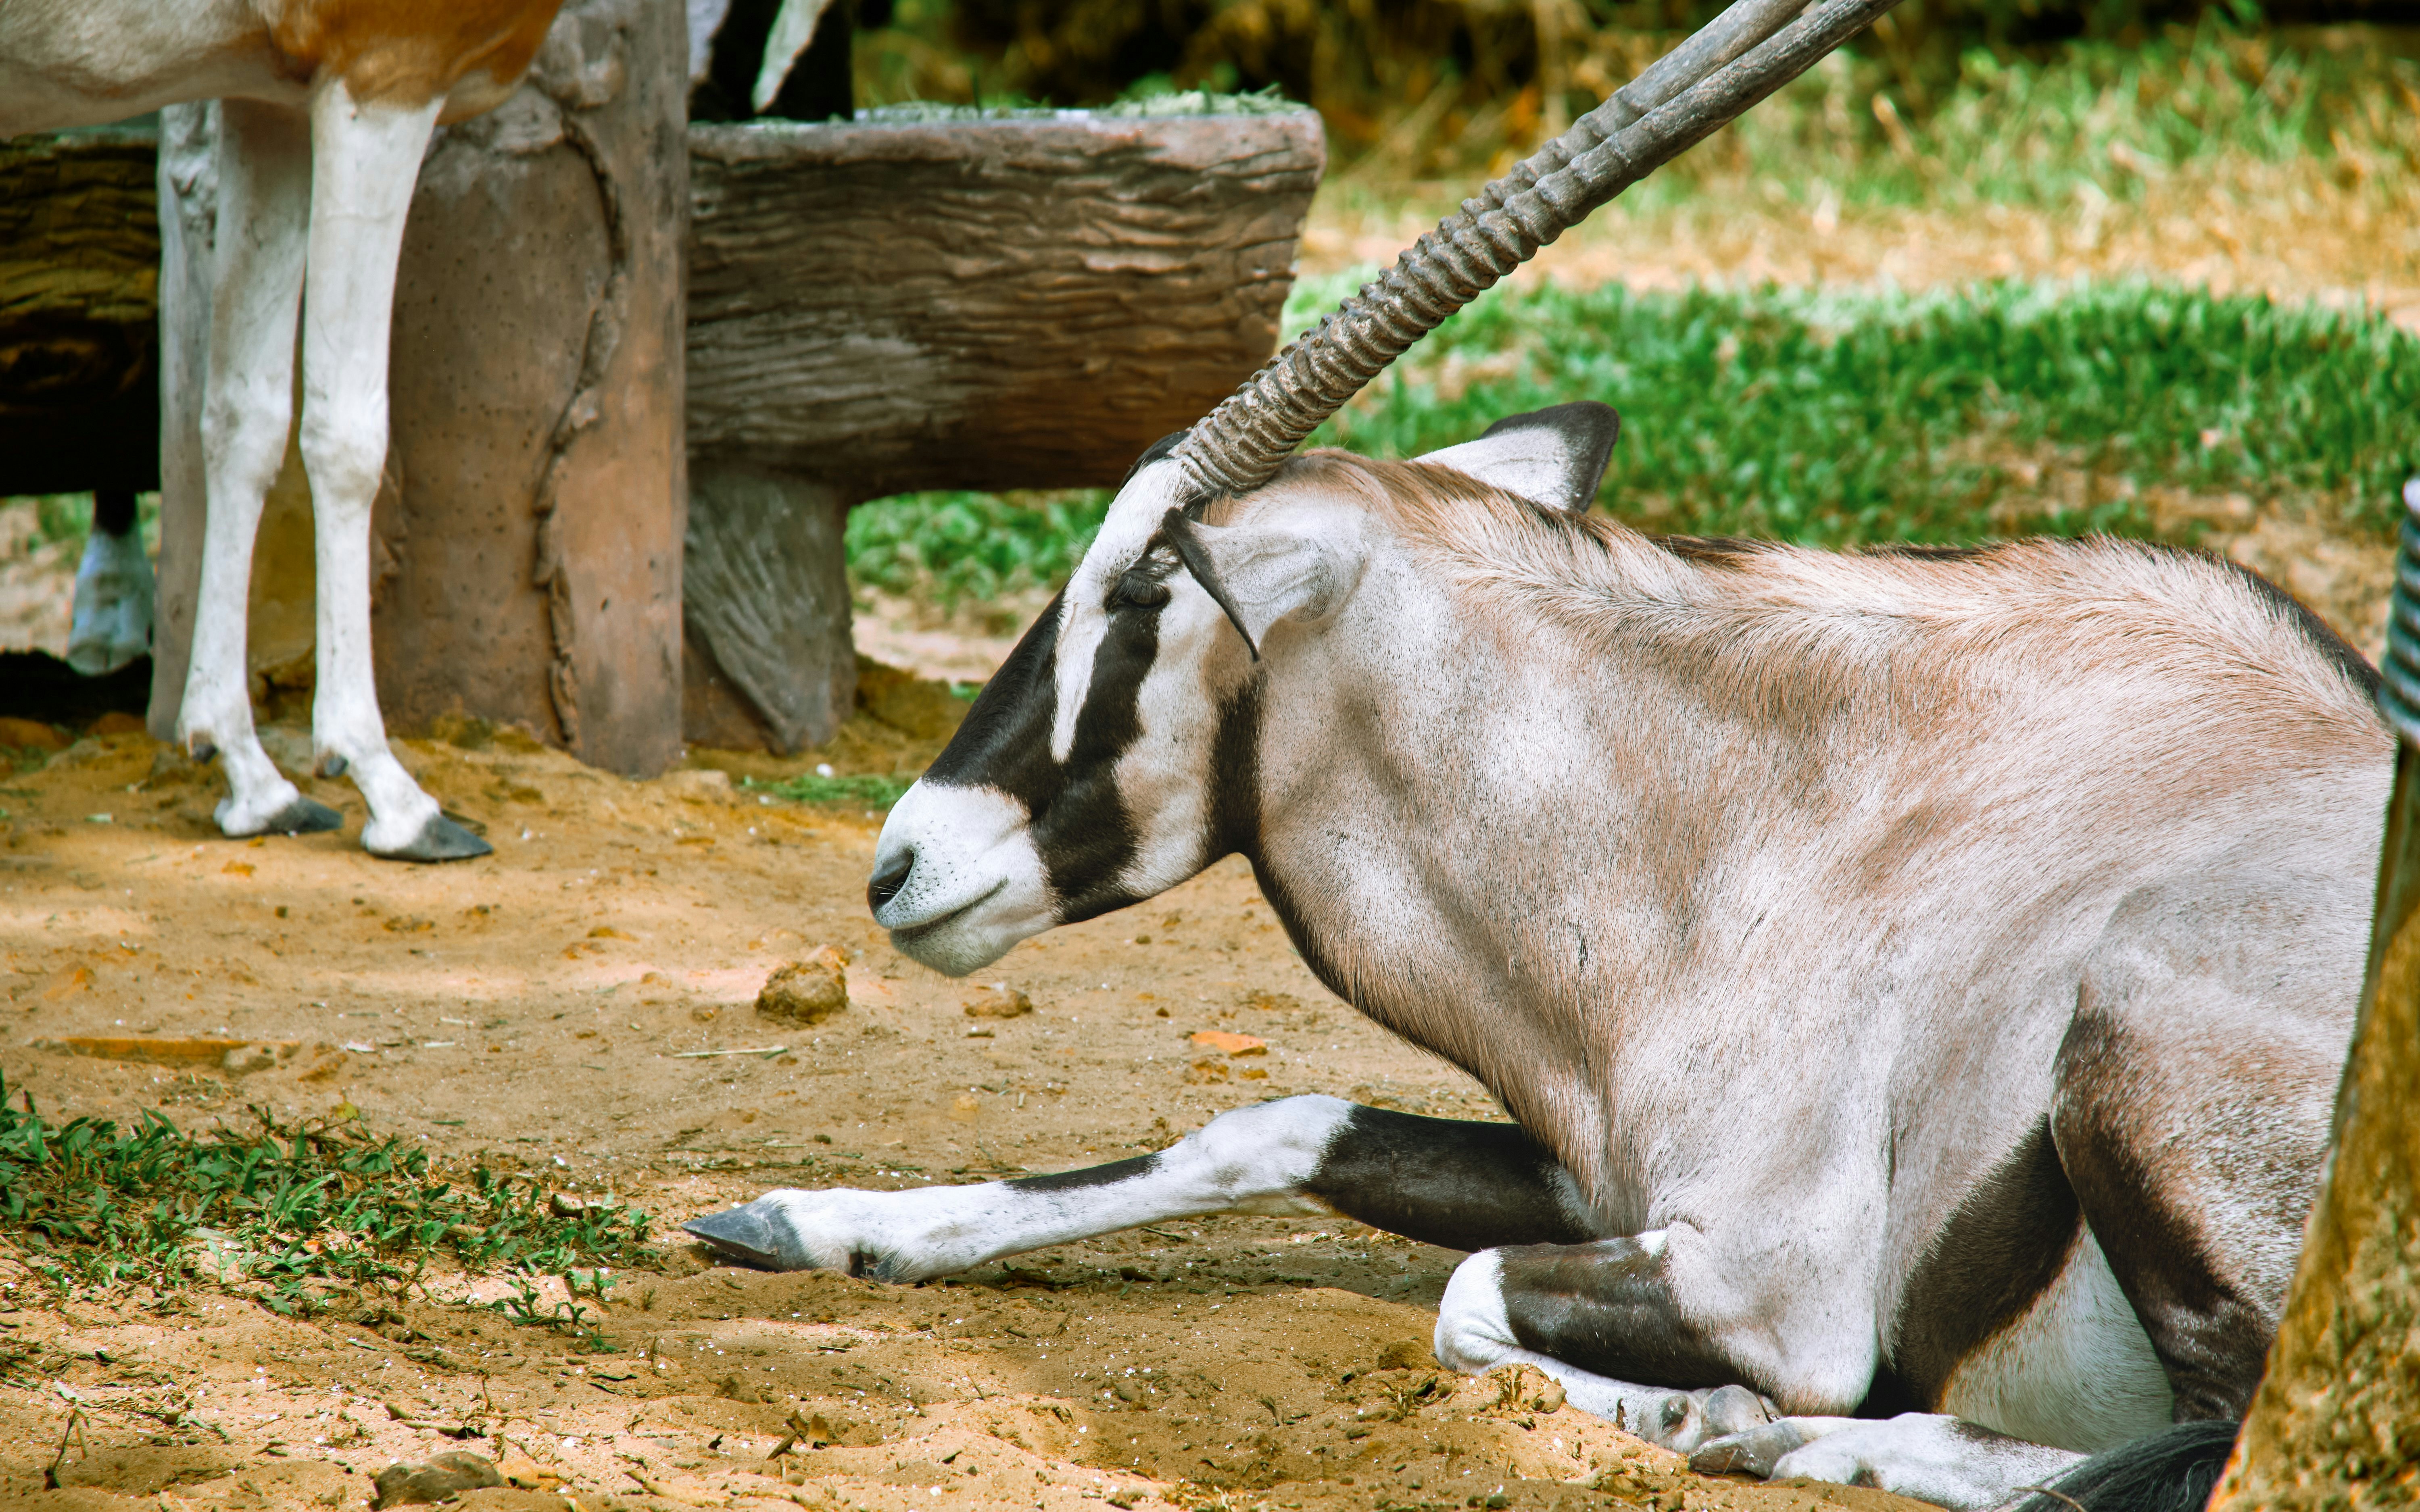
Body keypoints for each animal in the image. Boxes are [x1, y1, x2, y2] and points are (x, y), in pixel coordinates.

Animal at [1, 0, 573, 860]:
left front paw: (250, 775)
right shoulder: (384, 74)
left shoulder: (267, 103)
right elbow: (345, 431)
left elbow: (245, 415)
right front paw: (390, 790)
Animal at [687, 0, 2393, 1504]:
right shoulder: (1588, 1172)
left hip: (2131, 1050)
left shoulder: (1768, 1285)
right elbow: (1275, 1121)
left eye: (1142, 596)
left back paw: (1773, 1440)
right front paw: (811, 1221)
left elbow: (1467, 1303)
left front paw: (1703, 1409)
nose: (902, 863)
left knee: (2197, 1443)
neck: (1779, 821)